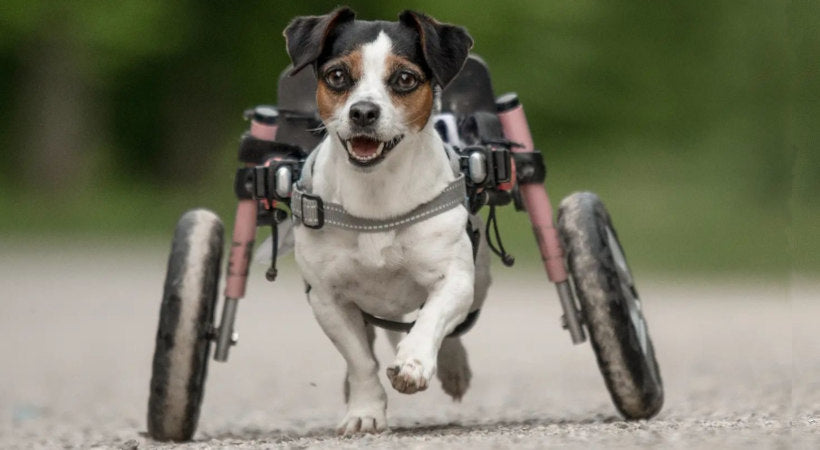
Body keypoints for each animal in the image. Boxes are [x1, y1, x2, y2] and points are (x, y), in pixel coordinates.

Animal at [284, 7, 486, 436]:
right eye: (337, 75)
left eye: (405, 79)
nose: (363, 111)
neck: (376, 193)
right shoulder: (327, 298)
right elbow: (361, 361)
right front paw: (364, 410)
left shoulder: (454, 279)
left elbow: (431, 321)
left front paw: (414, 364)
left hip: (478, 280)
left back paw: (450, 366)